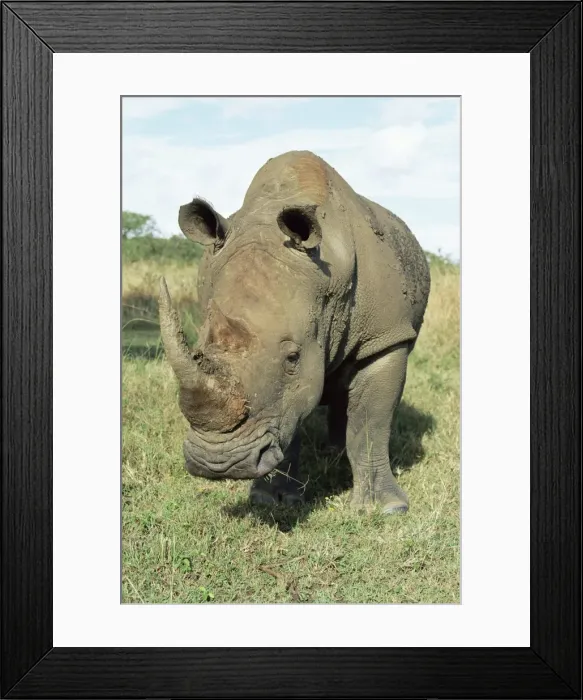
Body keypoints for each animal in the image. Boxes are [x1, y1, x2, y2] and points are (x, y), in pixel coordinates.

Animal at [159, 151, 430, 514]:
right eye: (198, 354)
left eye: (293, 357)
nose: (218, 463)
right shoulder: (281, 396)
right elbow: (288, 419)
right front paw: (272, 500)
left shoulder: (384, 339)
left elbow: (370, 424)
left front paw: (384, 510)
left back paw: (336, 455)